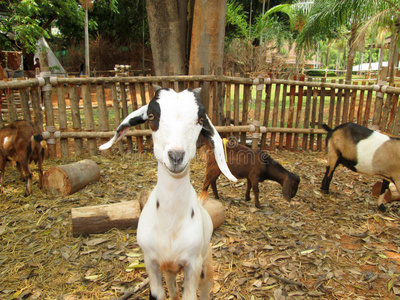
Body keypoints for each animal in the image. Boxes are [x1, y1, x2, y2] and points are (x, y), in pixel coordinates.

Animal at [101, 86, 238, 300]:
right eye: (151, 115)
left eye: (200, 119)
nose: (176, 156)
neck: (170, 224)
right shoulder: (151, 262)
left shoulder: (193, 264)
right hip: (169, 270)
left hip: (206, 263)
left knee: (206, 288)